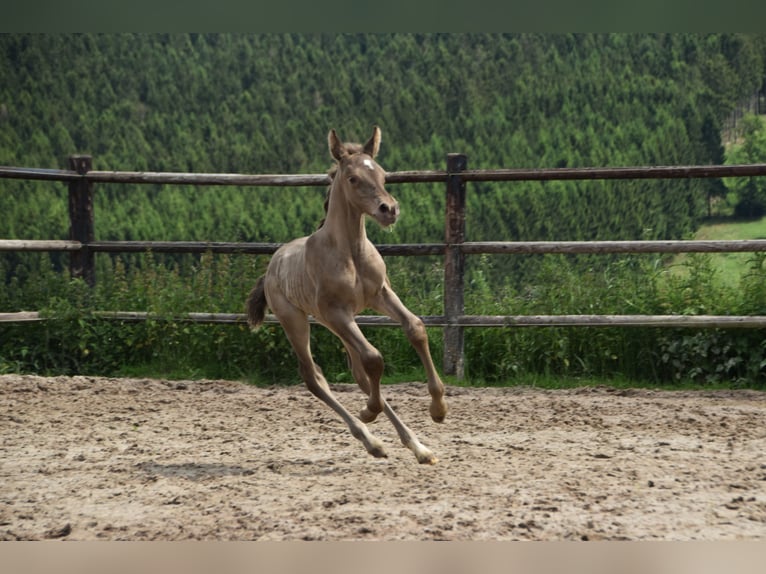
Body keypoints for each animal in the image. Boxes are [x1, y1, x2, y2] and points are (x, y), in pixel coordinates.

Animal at [246, 125, 450, 464]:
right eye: (353, 178)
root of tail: (272, 266)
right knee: (314, 376)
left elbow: (415, 328)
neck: (351, 252)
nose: (389, 209)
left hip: (336, 324)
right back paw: (372, 439)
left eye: (382, 174)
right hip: (299, 320)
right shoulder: (337, 311)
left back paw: (417, 447)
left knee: (358, 372)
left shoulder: (381, 295)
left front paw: (438, 409)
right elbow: (374, 358)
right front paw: (369, 411)